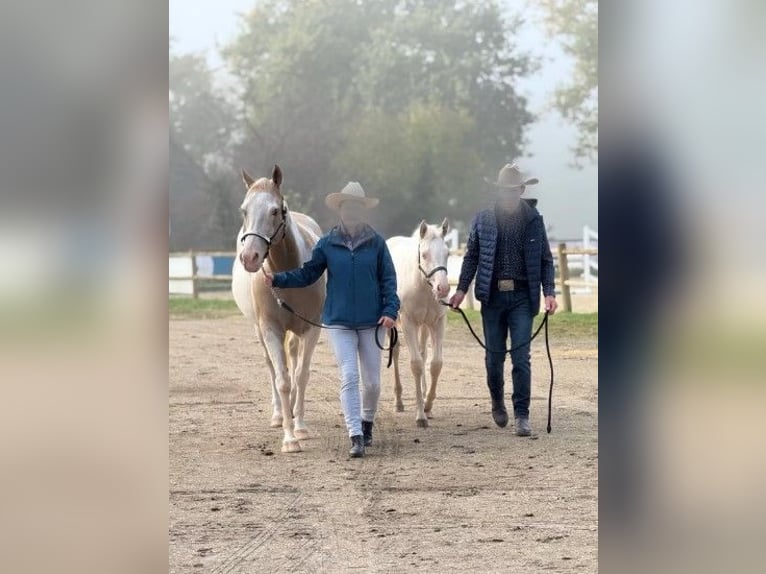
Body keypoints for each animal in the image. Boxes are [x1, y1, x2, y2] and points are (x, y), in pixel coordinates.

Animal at [231, 164, 326, 453]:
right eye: (244, 210)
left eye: (275, 210)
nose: (250, 257)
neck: (289, 273)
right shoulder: (271, 328)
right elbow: (282, 379)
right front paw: (289, 438)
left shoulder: (311, 328)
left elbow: (302, 375)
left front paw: (301, 428)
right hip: (259, 329)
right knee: (272, 368)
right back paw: (278, 415)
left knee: (293, 358)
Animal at [386, 219, 451, 427]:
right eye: (424, 254)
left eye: (447, 253)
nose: (443, 288)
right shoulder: (409, 323)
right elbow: (415, 364)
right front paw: (420, 416)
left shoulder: (438, 323)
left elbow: (435, 364)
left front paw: (428, 405)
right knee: (396, 352)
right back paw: (399, 402)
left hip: (425, 326)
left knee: (423, 353)